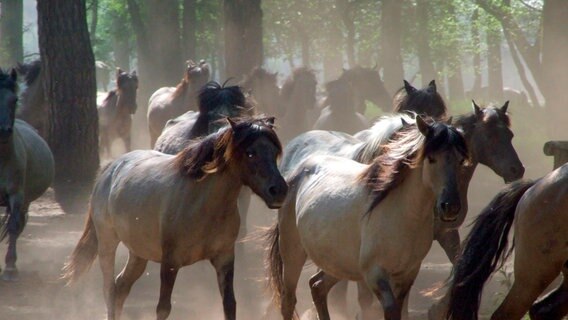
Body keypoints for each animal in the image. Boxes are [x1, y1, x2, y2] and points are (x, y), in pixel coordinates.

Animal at [0, 69, 54, 280]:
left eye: (15, 99)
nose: (4, 131)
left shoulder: (17, 194)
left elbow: (14, 226)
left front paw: (9, 267)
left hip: (26, 201)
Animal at [62, 116, 288, 320]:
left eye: (274, 151)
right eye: (250, 153)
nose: (279, 191)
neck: (202, 203)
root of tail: (110, 169)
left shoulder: (224, 258)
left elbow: (229, 305)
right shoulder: (170, 263)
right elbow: (163, 308)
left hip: (138, 253)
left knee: (121, 288)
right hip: (107, 243)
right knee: (109, 290)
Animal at [264, 117, 468, 320]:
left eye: (460, 161)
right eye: (431, 159)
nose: (450, 206)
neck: (403, 214)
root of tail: (298, 171)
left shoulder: (408, 273)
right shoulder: (374, 274)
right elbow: (388, 310)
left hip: (340, 263)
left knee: (317, 286)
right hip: (293, 255)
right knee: (289, 301)